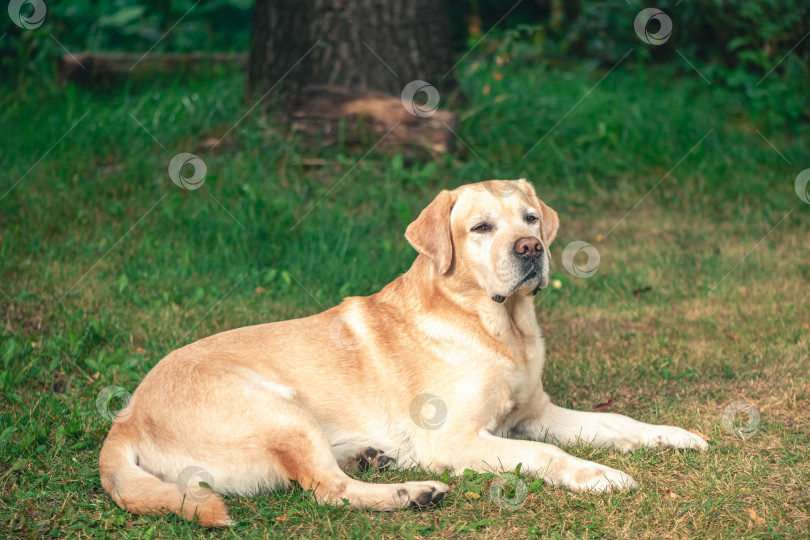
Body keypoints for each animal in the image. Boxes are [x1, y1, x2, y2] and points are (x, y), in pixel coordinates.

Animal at [99, 179, 708, 524]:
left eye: (531, 219)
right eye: (481, 227)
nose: (531, 248)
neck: (498, 329)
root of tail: (124, 418)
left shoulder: (538, 414)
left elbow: (622, 423)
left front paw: (675, 436)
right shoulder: (458, 439)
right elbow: (546, 456)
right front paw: (598, 475)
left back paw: (376, 460)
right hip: (280, 408)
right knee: (329, 492)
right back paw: (413, 493)